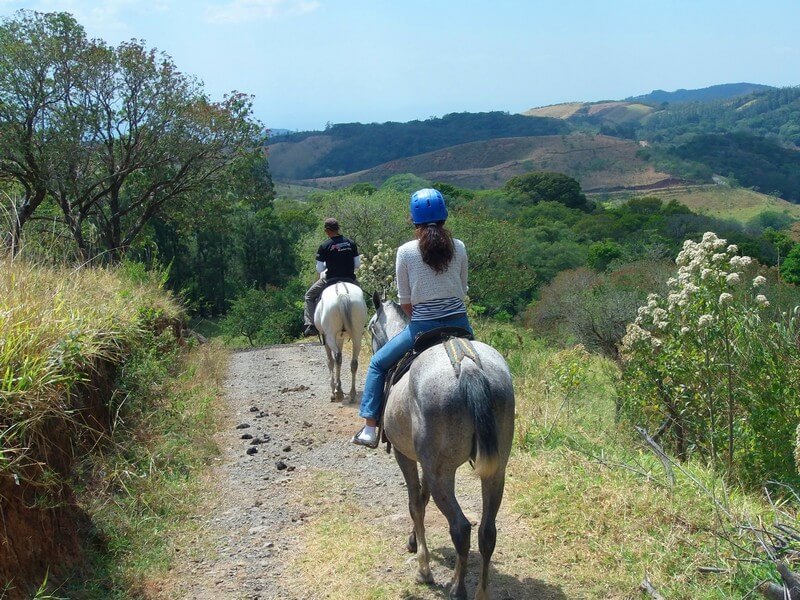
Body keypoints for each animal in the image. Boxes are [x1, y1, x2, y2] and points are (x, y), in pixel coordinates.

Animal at [368, 296, 512, 600]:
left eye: (371, 327)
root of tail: (467, 364)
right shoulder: (426, 460)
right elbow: (421, 500)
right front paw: (413, 540)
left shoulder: (405, 455)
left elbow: (415, 504)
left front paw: (423, 567)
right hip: (495, 471)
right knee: (487, 532)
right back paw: (481, 592)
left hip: (441, 473)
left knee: (460, 527)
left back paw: (457, 588)